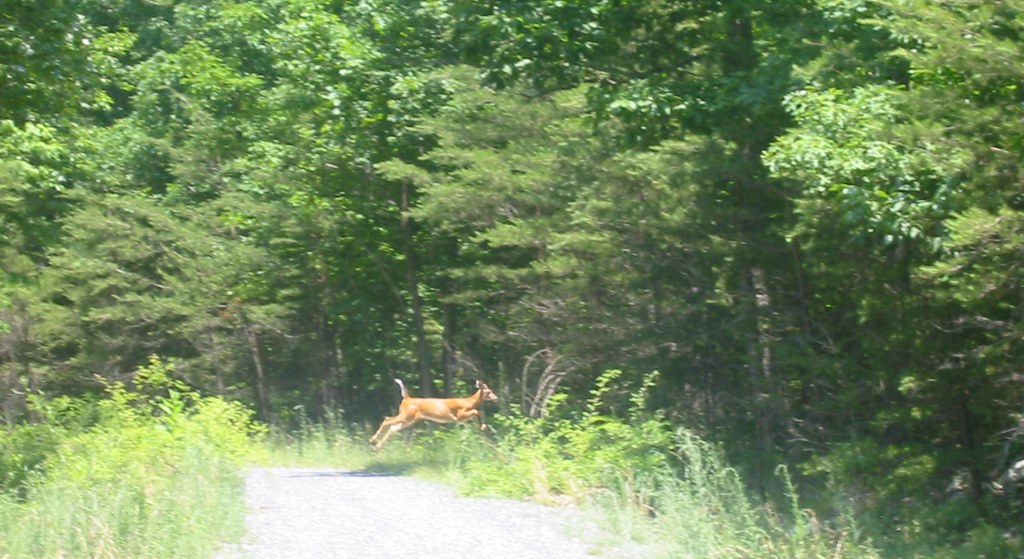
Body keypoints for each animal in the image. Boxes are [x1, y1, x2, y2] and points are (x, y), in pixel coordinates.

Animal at [369, 378, 498, 450]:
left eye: (491, 391)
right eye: (488, 392)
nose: (496, 398)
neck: (468, 402)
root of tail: (407, 398)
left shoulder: (462, 417)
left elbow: (477, 412)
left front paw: (482, 427)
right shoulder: (459, 416)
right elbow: (477, 411)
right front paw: (483, 426)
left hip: (409, 419)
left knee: (392, 427)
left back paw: (376, 447)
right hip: (406, 415)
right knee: (387, 419)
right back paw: (372, 440)